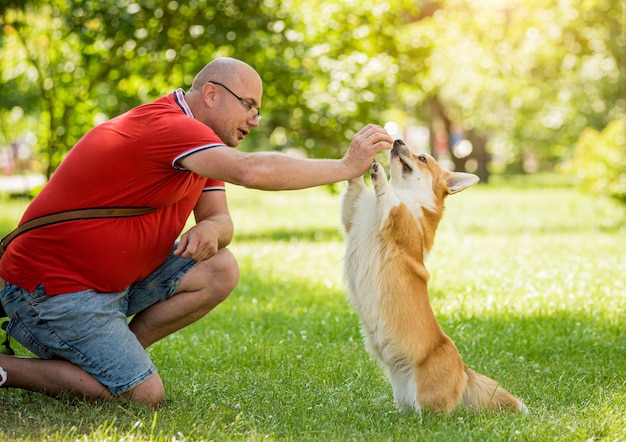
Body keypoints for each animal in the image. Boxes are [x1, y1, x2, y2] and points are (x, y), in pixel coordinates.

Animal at [342, 140, 528, 416]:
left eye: (422, 158)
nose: (397, 140)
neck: (406, 193)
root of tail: (464, 369)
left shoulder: (398, 219)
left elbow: (391, 201)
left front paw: (379, 175)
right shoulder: (352, 218)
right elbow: (353, 191)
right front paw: (358, 160)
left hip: (427, 396)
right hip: (401, 388)